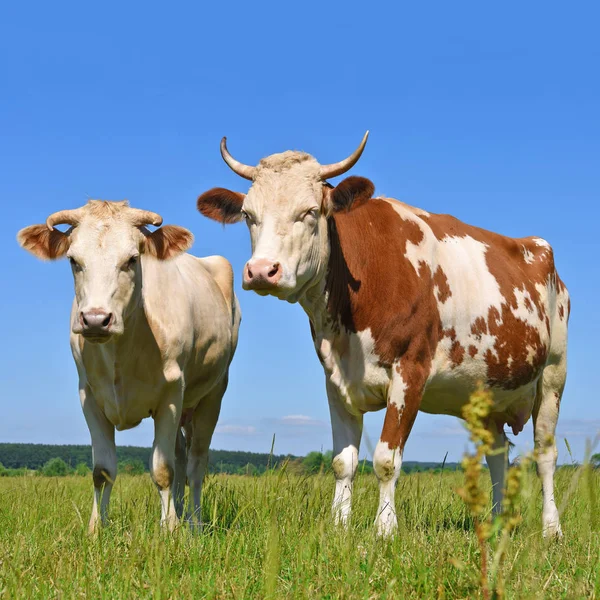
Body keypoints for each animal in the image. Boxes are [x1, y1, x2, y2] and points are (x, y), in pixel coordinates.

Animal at [18, 202, 239, 536]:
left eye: (132, 259)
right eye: (73, 260)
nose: (96, 319)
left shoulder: (171, 396)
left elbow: (162, 470)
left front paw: (169, 532)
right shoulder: (89, 397)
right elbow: (103, 470)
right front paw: (96, 529)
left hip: (213, 394)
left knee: (196, 465)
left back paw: (194, 524)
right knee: (181, 455)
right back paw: (180, 512)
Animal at [198, 134, 572, 536]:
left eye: (310, 212)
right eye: (248, 216)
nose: (261, 271)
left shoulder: (410, 371)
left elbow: (385, 459)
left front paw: (384, 529)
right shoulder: (336, 379)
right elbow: (342, 462)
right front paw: (339, 527)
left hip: (553, 375)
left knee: (545, 454)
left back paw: (552, 529)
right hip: (487, 389)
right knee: (499, 455)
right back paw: (498, 524)